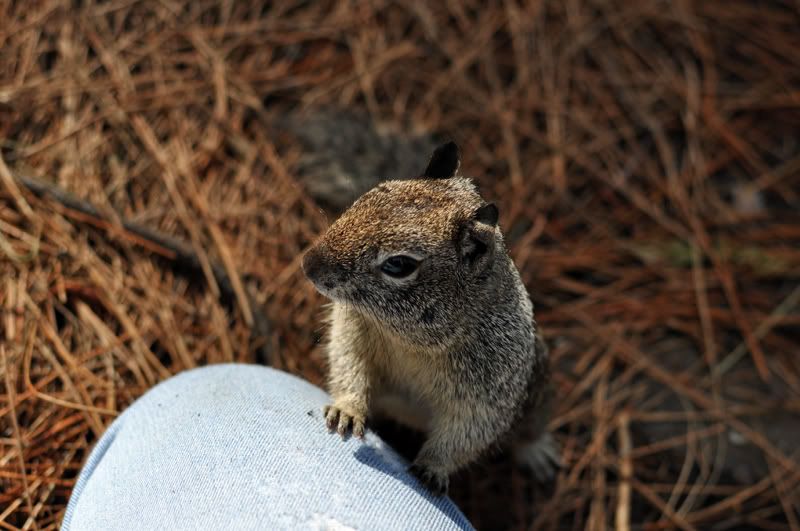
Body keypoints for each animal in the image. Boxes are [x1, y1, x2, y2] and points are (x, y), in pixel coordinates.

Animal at [302, 140, 564, 494]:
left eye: (398, 264)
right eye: (363, 200)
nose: (308, 264)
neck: (406, 340)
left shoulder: (486, 395)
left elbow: (465, 434)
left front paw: (432, 467)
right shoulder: (352, 331)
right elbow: (349, 367)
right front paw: (347, 408)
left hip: (539, 395)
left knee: (529, 431)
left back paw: (538, 452)